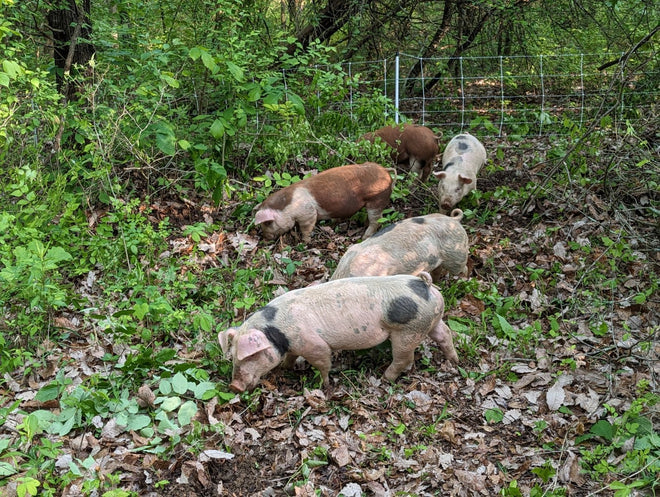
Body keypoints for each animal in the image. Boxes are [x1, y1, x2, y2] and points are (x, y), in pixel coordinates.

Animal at [219, 272, 456, 392]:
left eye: (251, 356)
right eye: (234, 358)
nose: (234, 386)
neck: (278, 332)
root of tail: (425, 285)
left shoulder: (313, 344)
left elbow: (323, 363)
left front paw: (322, 385)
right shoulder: (295, 345)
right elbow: (291, 357)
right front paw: (287, 367)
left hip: (407, 330)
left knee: (403, 357)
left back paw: (385, 377)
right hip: (431, 320)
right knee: (445, 334)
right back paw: (454, 361)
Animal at [255, 162, 394, 241]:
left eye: (268, 223)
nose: (265, 238)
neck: (287, 206)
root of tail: (385, 171)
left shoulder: (308, 213)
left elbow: (306, 228)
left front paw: (305, 241)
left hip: (377, 199)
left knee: (376, 220)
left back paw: (364, 237)